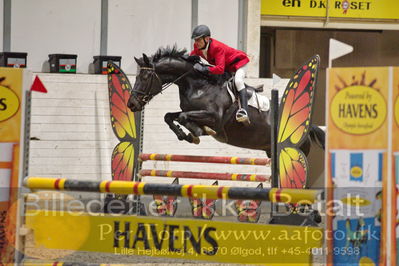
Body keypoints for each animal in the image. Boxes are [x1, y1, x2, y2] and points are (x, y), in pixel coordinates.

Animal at [128, 46, 324, 158]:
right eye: (136, 77)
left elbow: (184, 117)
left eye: (144, 77)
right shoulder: (189, 111)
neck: (197, 85)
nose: (131, 104)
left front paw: (197, 132)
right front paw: (185, 135)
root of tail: (306, 128)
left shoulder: (214, 117)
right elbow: (170, 116)